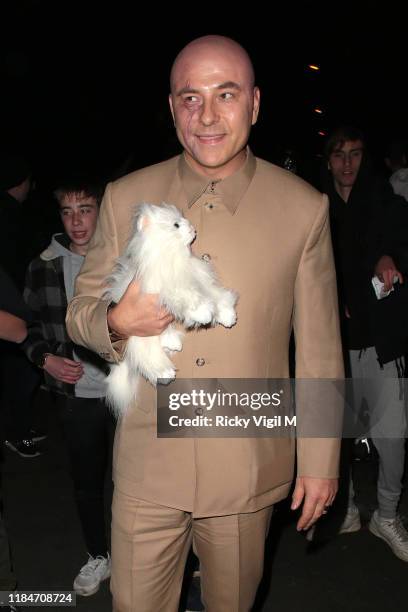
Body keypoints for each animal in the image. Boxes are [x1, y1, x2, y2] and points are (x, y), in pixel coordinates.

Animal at [103, 203, 239, 414]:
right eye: (176, 225)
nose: (193, 229)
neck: (172, 255)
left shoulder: (199, 278)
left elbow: (215, 294)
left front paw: (227, 315)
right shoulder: (171, 286)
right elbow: (189, 297)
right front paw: (203, 313)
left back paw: (172, 343)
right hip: (140, 334)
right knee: (145, 354)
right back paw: (165, 373)